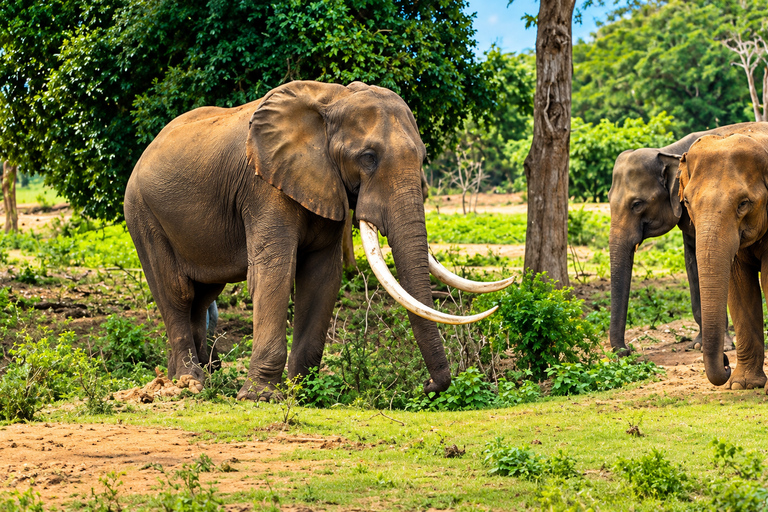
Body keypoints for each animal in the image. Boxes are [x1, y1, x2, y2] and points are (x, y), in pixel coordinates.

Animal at [124, 80, 514, 400]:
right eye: (368, 158)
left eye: (423, 157)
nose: (429, 386)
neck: (334, 99)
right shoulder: (264, 187)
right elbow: (274, 271)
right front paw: (260, 397)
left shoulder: (326, 185)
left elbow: (322, 277)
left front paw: (304, 393)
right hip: (141, 213)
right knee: (177, 292)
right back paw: (189, 383)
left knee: (203, 295)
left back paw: (182, 381)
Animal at [608, 122, 767, 356]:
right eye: (608, 200)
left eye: (637, 204)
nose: (627, 350)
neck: (668, 151)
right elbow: (693, 263)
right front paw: (698, 345)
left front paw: (724, 347)